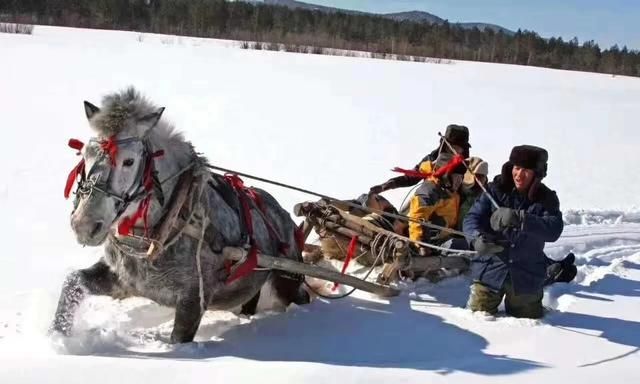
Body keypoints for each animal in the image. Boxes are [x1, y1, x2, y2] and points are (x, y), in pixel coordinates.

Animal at [50, 87, 310, 342]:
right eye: (85, 154)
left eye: (129, 161)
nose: (84, 225)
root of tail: (285, 217)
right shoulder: (124, 279)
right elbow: (72, 282)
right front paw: (56, 336)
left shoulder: (192, 300)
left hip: (286, 281)